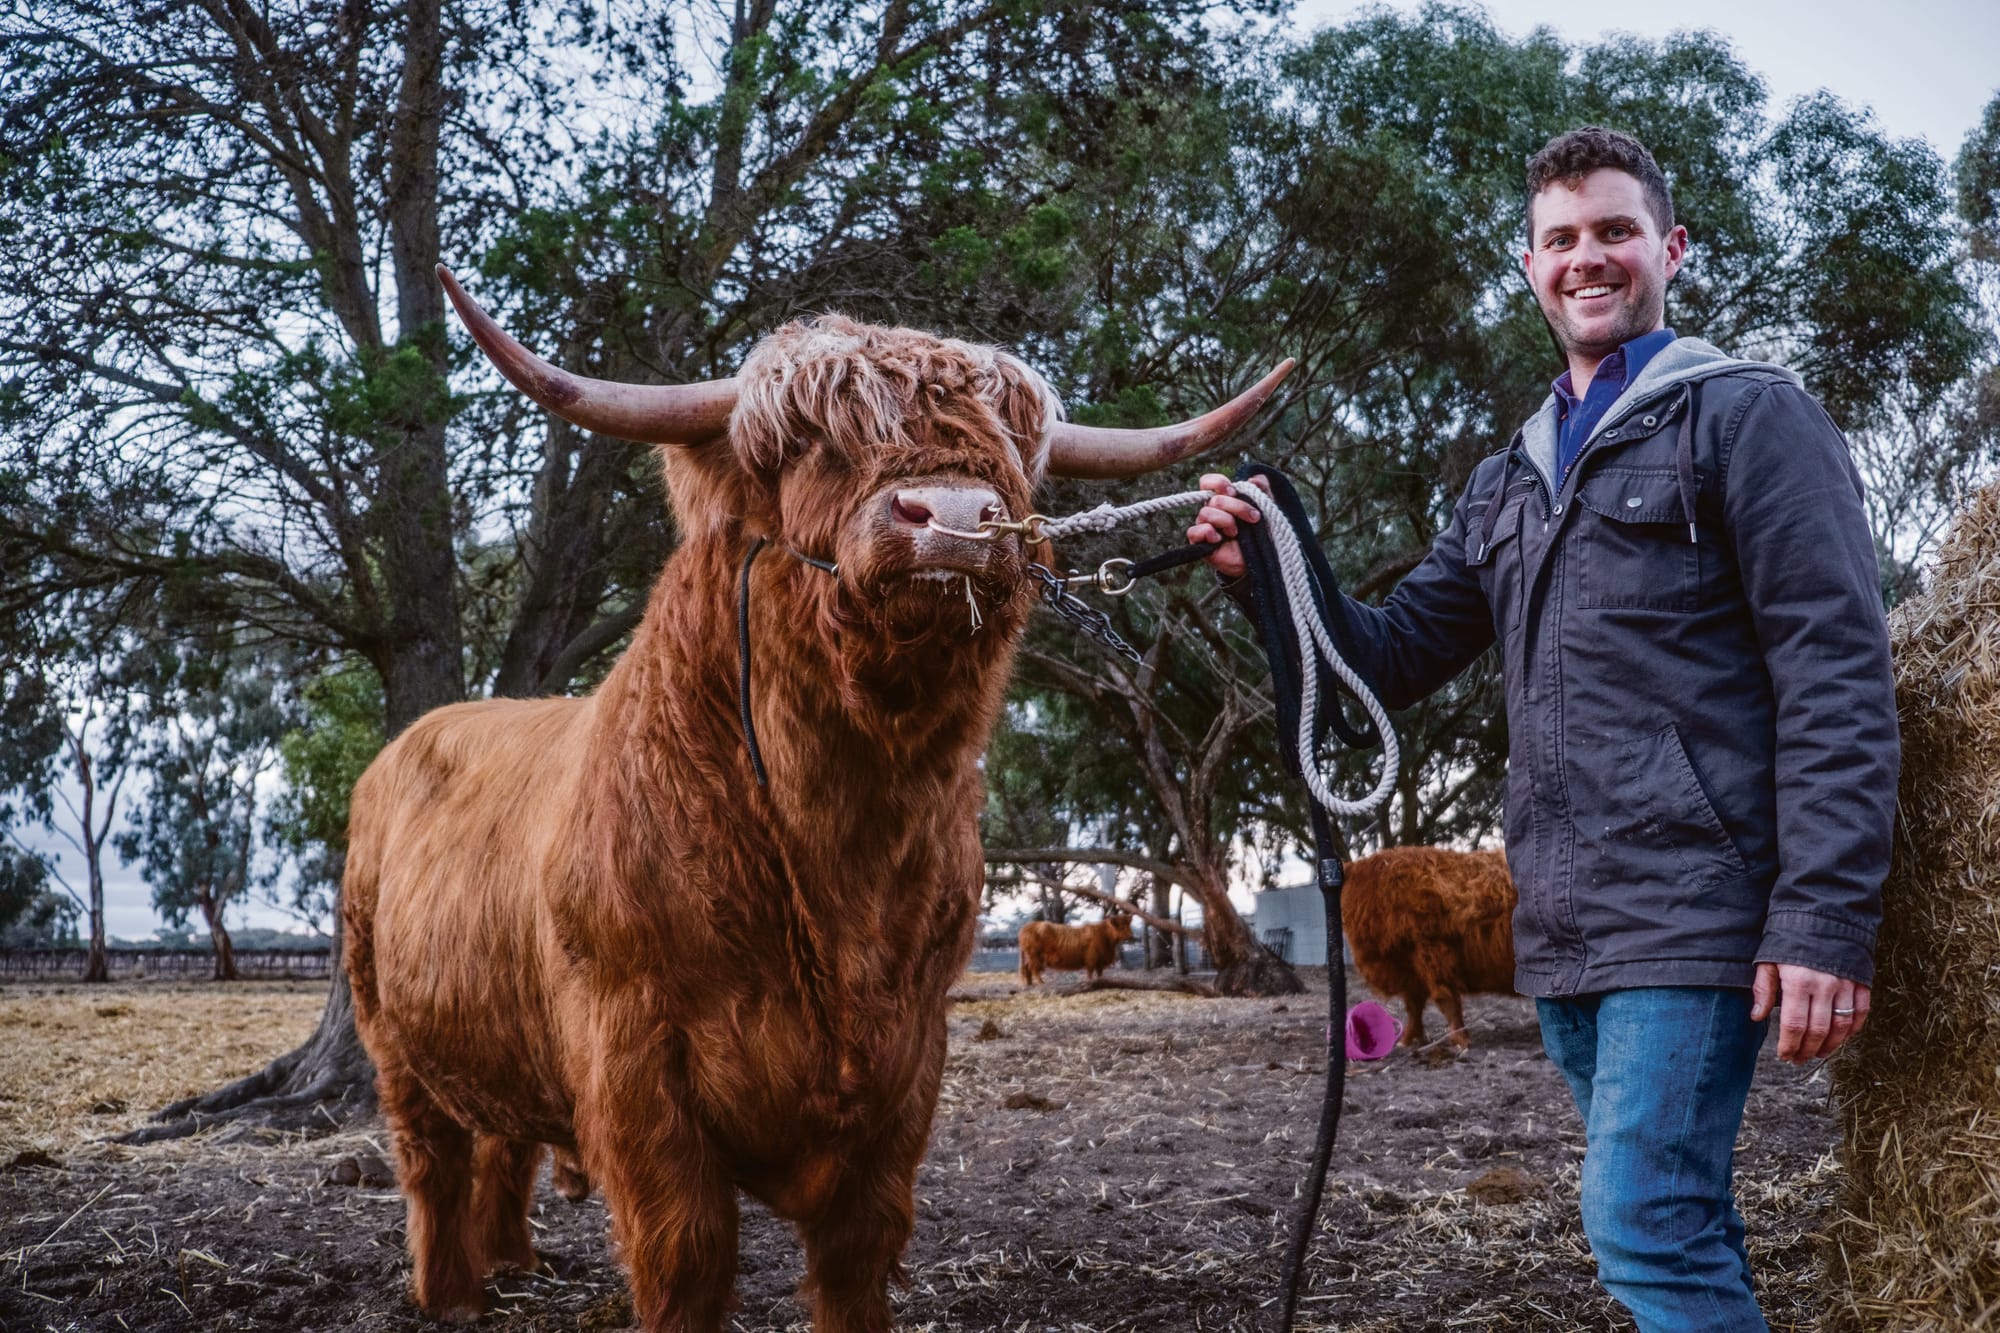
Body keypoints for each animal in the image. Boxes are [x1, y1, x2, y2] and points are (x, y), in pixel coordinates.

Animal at [341, 265, 1290, 1332]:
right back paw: (451, 1292)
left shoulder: (909, 1059)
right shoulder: (635, 1060)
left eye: (1010, 451)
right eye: (811, 442)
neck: (843, 852)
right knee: (432, 1161)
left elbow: (858, 1249)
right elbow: (685, 1255)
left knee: (505, 1142)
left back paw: (513, 1262)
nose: (952, 514)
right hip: (390, 1038)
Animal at [1341, 846, 1517, 1051]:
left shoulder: (1430, 951)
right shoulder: (1410, 970)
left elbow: (1445, 998)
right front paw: (1407, 1040)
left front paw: (1461, 1040)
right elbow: (1413, 1006)